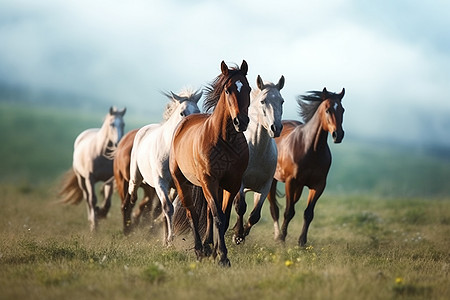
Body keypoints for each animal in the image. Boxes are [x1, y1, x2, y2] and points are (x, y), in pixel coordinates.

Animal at [125, 88, 201, 244]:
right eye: (182, 112)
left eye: (197, 111)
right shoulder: (161, 183)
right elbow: (168, 208)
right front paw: (169, 240)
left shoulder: (178, 186)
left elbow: (170, 209)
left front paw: (167, 240)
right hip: (136, 175)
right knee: (132, 189)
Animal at [171, 59, 251, 266]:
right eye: (228, 90)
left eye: (247, 88)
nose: (241, 121)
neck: (224, 139)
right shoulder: (209, 181)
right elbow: (218, 218)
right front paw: (222, 256)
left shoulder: (231, 184)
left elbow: (222, 217)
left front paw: (217, 252)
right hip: (182, 181)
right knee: (192, 213)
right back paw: (199, 249)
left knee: (207, 212)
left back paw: (207, 247)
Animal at [229, 75, 284, 244]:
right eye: (262, 101)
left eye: (282, 101)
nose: (276, 128)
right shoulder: (239, 184)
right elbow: (240, 207)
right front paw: (237, 235)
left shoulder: (264, 187)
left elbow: (255, 215)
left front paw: (242, 234)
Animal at [266, 86, 346, 246]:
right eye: (327, 110)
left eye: (343, 109)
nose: (338, 135)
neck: (310, 149)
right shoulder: (290, 182)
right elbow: (288, 212)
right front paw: (282, 239)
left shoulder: (318, 185)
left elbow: (308, 213)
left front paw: (302, 242)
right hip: (273, 181)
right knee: (274, 208)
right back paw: (276, 236)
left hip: (299, 187)